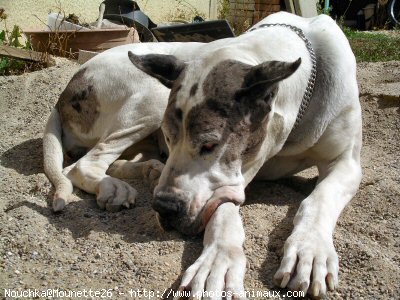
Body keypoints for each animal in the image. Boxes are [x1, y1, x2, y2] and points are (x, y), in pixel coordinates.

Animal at [44, 12, 362, 300]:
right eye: (169, 137)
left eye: (210, 145)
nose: (164, 207)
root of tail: (64, 92)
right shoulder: (227, 181)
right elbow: (222, 211)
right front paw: (218, 261)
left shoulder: (347, 163)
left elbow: (320, 198)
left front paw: (310, 249)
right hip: (150, 97)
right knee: (82, 165)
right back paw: (114, 187)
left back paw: (149, 170)